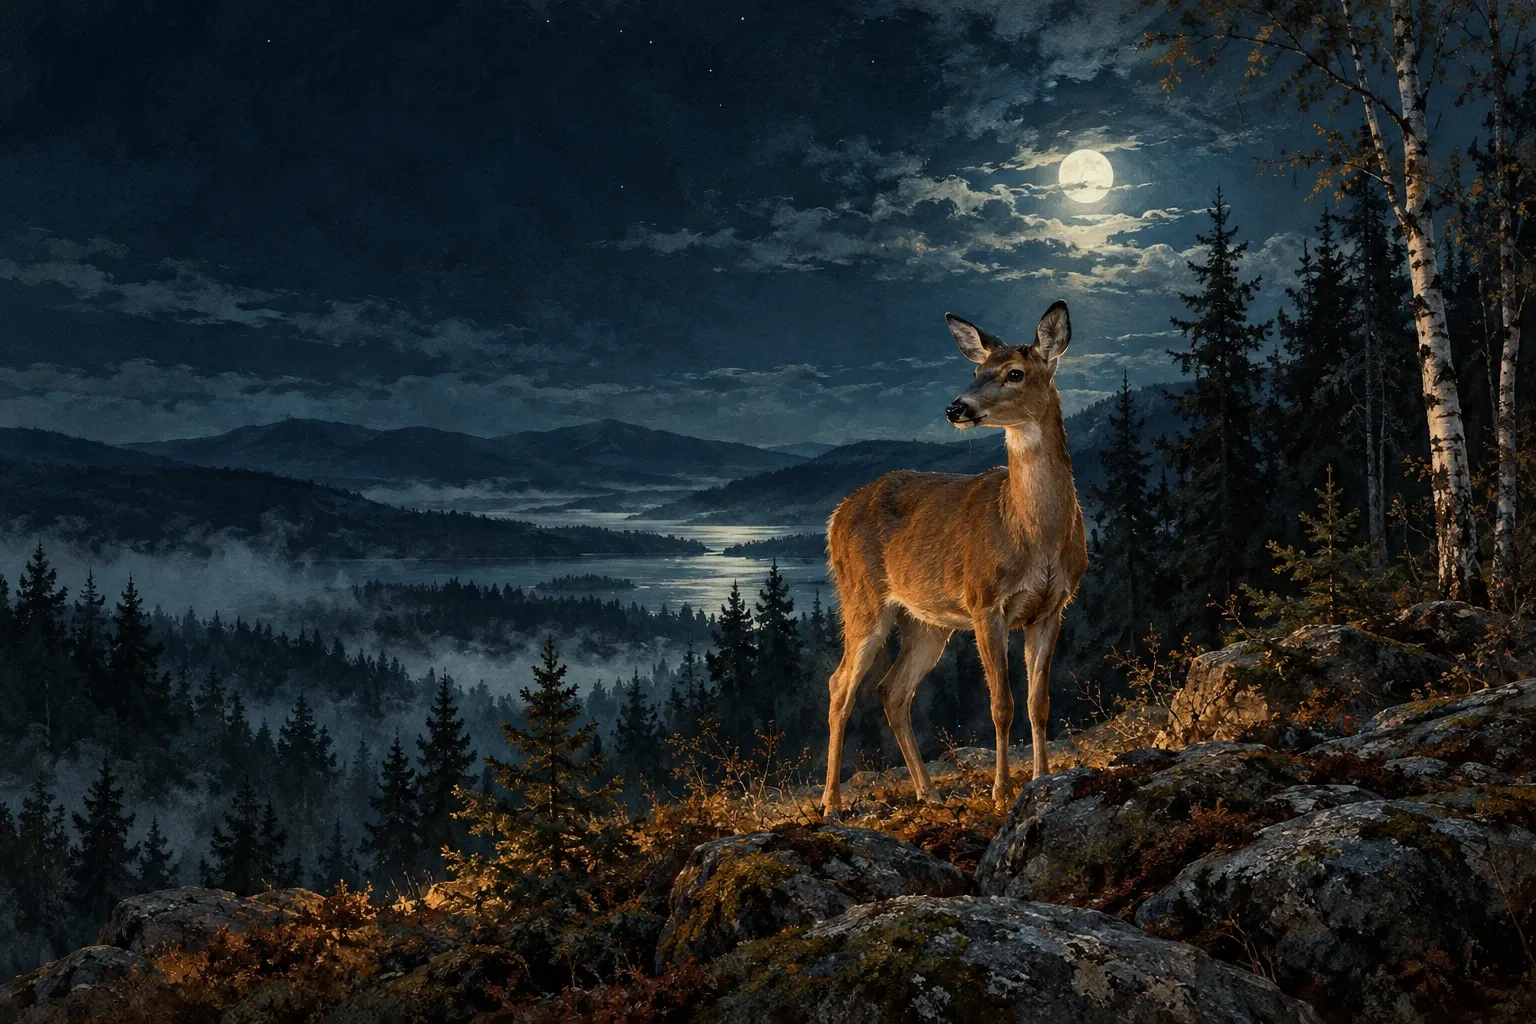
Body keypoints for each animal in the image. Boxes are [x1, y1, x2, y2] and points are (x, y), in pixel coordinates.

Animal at [821, 300, 1088, 816]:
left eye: (1014, 373)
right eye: (975, 370)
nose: (955, 407)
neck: (1035, 535)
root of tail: (836, 515)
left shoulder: (1053, 607)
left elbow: (1039, 703)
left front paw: (1042, 779)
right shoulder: (985, 602)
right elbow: (1001, 705)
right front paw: (1002, 790)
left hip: (927, 621)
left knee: (892, 690)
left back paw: (928, 792)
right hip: (862, 599)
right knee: (840, 685)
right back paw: (831, 803)